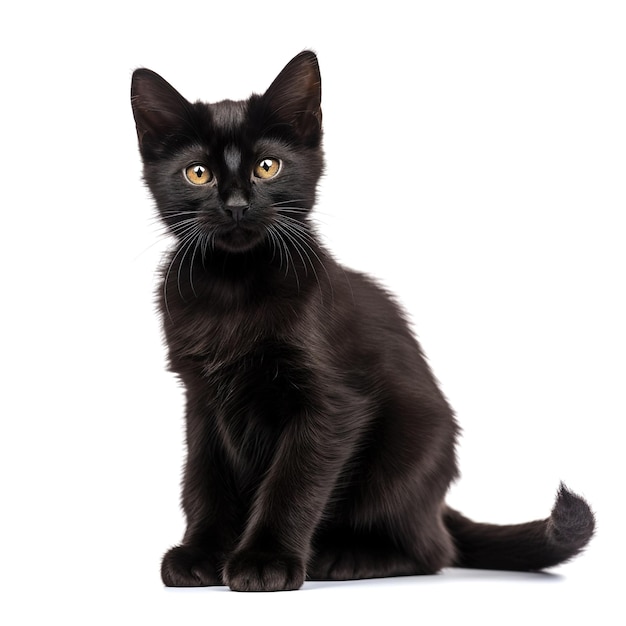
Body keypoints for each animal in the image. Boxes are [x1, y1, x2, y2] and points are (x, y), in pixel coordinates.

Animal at [130, 50, 588, 588]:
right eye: (197, 173)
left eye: (267, 166)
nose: (237, 205)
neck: (234, 287)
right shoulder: (200, 398)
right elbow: (203, 478)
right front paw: (201, 554)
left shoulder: (333, 403)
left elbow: (293, 482)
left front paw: (265, 560)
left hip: (412, 447)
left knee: (433, 550)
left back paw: (347, 557)